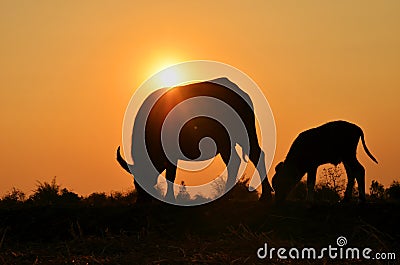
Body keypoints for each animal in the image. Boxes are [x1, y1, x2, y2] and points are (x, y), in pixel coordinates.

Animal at [117, 77, 274, 201]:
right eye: (135, 185)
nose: (141, 201)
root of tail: (242, 94)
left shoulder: (171, 155)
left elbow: (171, 176)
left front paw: (170, 198)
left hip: (241, 134)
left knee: (250, 157)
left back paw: (263, 195)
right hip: (232, 139)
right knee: (242, 159)